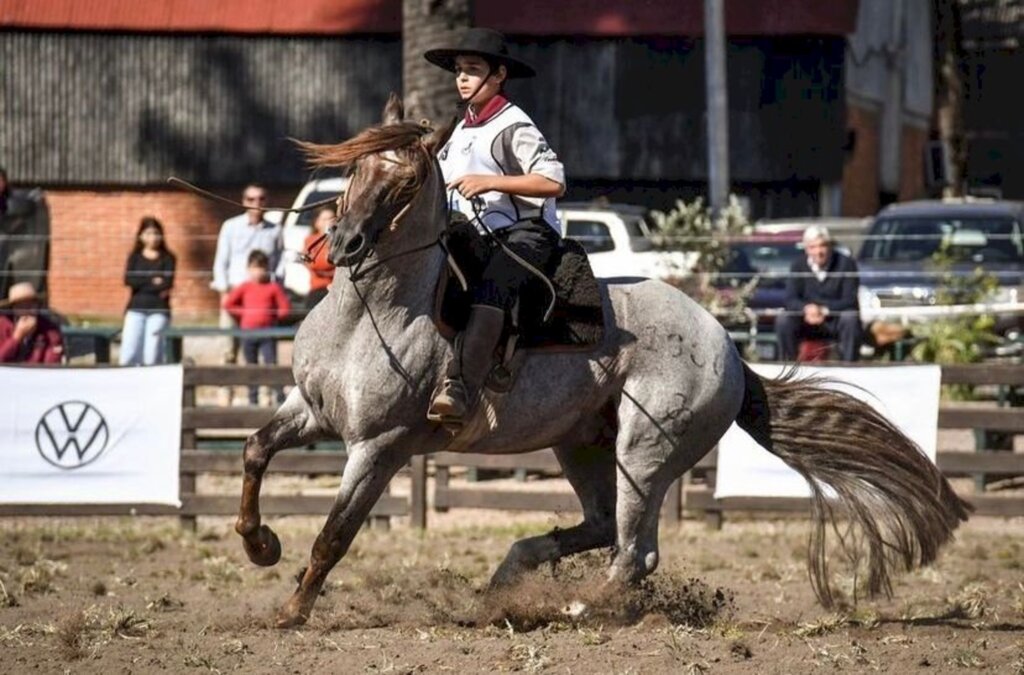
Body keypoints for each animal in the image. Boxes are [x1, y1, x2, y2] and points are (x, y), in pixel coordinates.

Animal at [235, 93, 970, 626]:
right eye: (358, 167)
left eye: (408, 177)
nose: (346, 243)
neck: (376, 311)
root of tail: (730, 352)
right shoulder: (311, 410)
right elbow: (254, 450)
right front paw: (259, 544)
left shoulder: (379, 446)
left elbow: (335, 533)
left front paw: (291, 611)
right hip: (583, 443)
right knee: (597, 525)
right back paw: (508, 579)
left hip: (645, 452)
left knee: (634, 551)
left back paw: (579, 605)